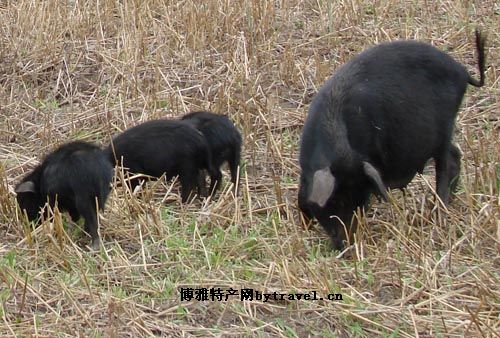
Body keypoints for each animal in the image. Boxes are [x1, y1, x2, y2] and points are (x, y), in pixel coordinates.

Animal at [298, 29, 486, 250]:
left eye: (361, 202)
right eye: (337, 202)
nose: (347, 246)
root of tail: (462, 71)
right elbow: (301, 199)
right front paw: (304, 227)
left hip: (445, 128)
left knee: (446, 165)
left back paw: (437, 214)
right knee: (456, 154)